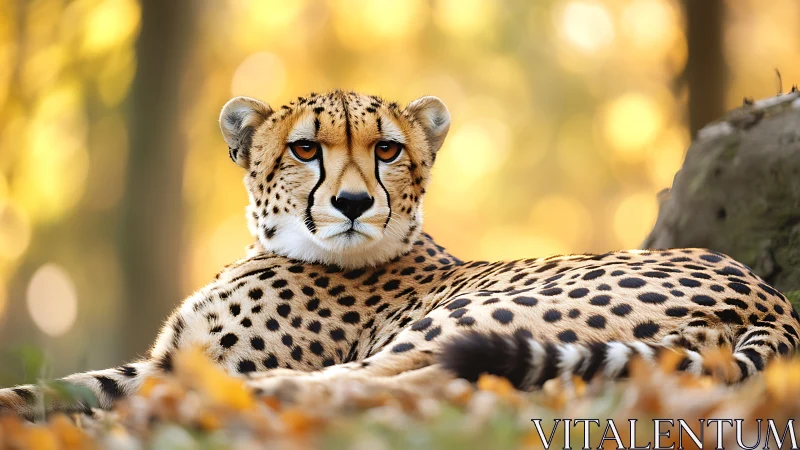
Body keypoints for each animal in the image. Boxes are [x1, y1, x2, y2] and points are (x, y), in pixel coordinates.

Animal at [1, 90, 799, 420]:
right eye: (305, 149)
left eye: (387, 150)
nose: (355, 204)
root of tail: (769, 294)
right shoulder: (158, 359)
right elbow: (60, 386)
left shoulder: (188, 363)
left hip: (473, 312)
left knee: (416, 378)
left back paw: (268, 396)